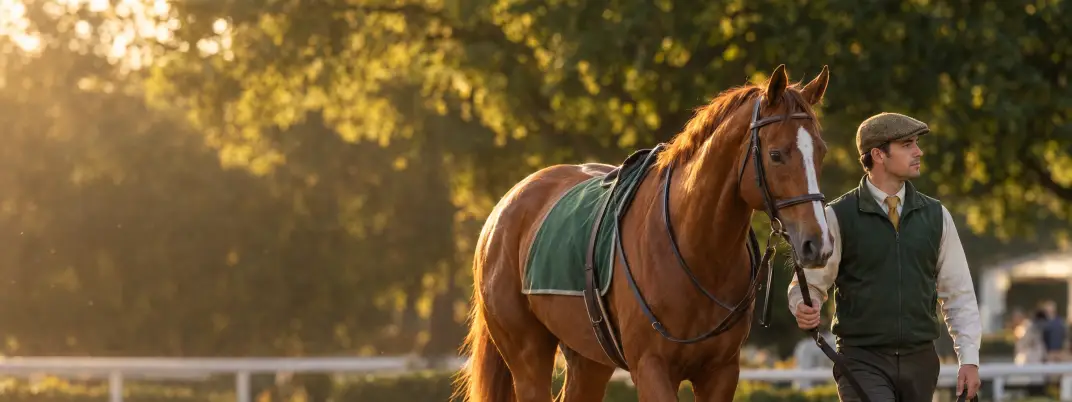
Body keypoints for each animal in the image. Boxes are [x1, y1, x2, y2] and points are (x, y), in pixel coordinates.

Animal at [455, 64, 834, 402]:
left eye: (821, 152)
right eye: (776, 154)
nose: (818, 244)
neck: (696, 252)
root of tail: (503, 209)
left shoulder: (721, 372)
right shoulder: (652, 368)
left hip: (588, 359)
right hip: (527, 355)